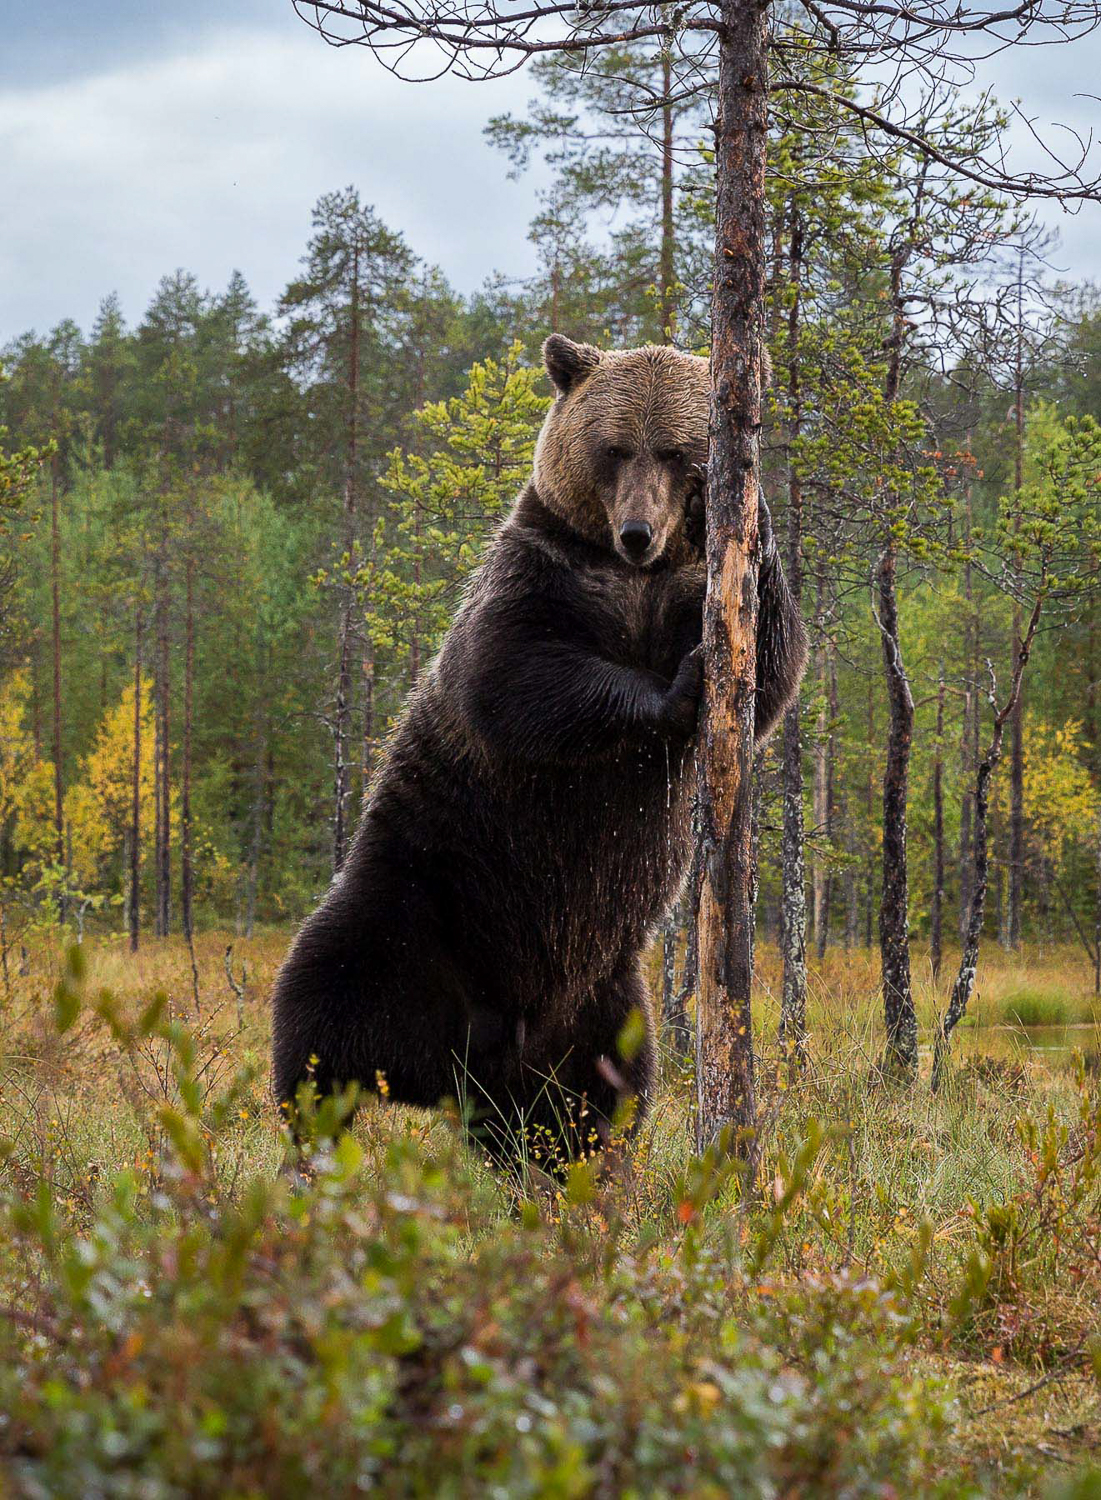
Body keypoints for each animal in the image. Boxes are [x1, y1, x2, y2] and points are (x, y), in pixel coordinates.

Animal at [274, 337, 810, 1158]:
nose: (636, 533)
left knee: (594, 1101)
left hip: (603, 1000)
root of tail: (469, 1058)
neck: (640, 581)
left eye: (677, 452)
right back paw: (312, 1128)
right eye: (614, 448)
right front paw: (677, 686)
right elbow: (517, 675)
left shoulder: (697, 596)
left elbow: (773, 668)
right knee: (325, 1007)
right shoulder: (540, 575)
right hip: (416, 902)